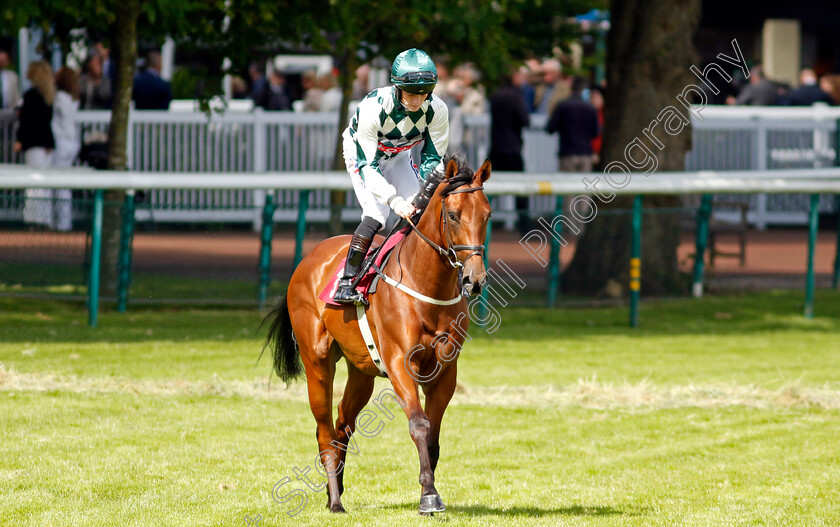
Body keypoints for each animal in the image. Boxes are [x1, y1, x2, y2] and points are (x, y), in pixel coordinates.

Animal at [262, 156, 492, 516]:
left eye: (487, 214)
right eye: (453, 214)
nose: (475, 279)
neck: (426, 285)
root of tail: (309, 258)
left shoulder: (445, 371)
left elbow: (434, 435)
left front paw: (431, 491)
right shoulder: (399, 362)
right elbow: (420, 424)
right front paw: (428, 495)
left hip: (361, 371)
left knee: (342, 423)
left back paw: (334, 491)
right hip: (317, 361)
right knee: (324, 430)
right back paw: (335, 500)